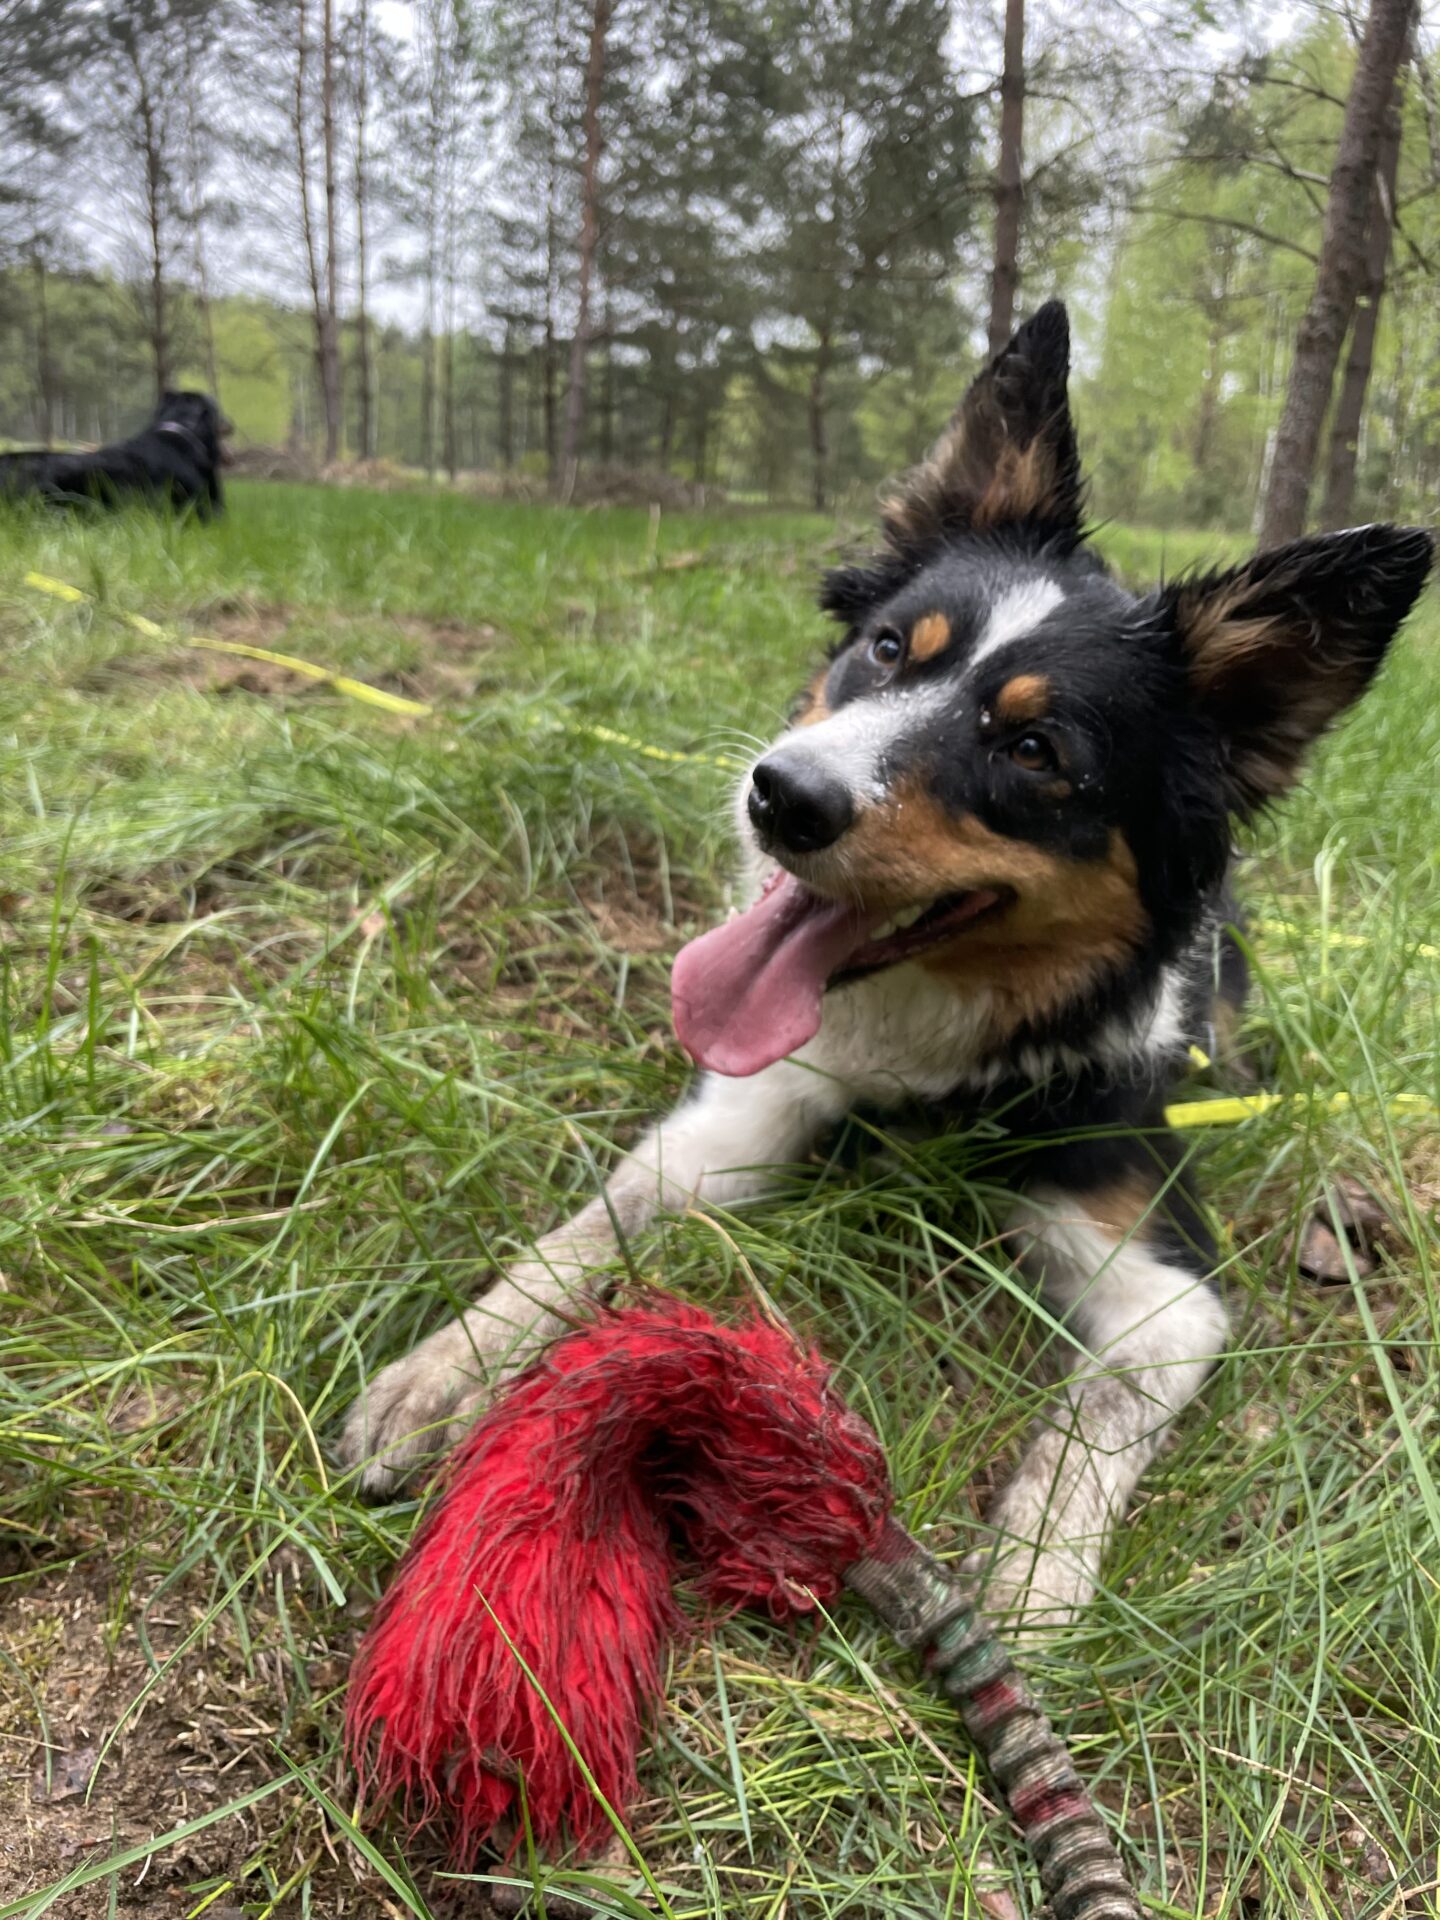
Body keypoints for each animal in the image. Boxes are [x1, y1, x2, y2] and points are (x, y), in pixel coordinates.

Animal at [343, 299, 1436, 1635]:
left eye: (1034, 750)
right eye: (882, 648)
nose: (780, 796)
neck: (928, 1044)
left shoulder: (1170, 1281)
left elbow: (1091, 1421)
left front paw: (1024, 1590)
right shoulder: (743, 1111)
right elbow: (591, 1229)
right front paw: (446, 1372)